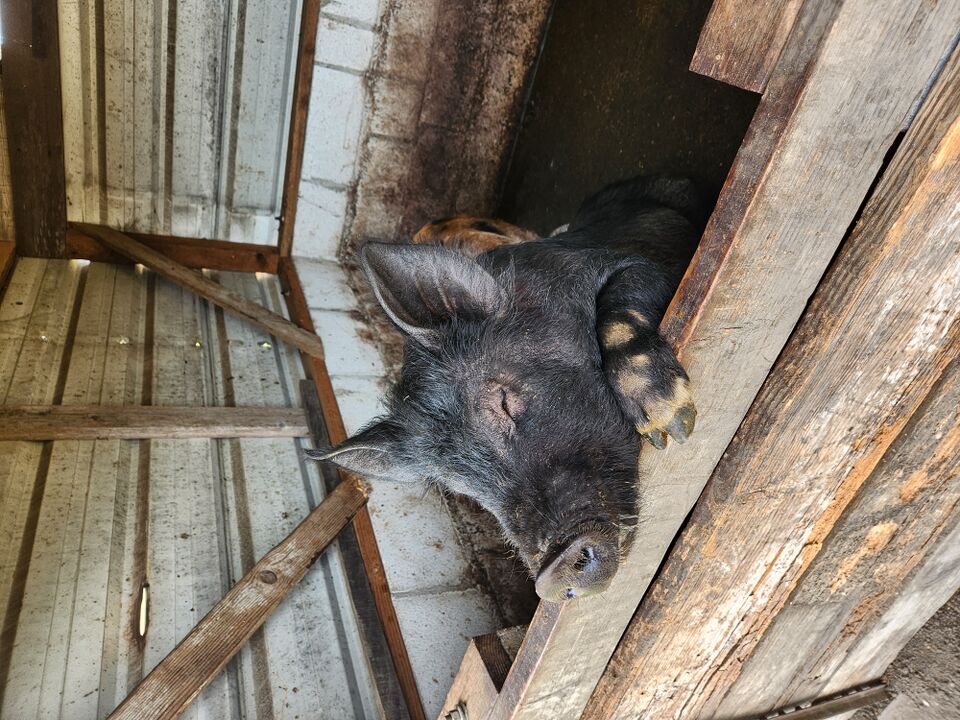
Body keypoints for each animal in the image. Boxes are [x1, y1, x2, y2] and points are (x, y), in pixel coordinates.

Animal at [308, 175, 704, 602]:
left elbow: (625, 294)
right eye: (459, 483)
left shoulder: (633, 263)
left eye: (502, 401)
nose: (549, 576)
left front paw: (670, 425)